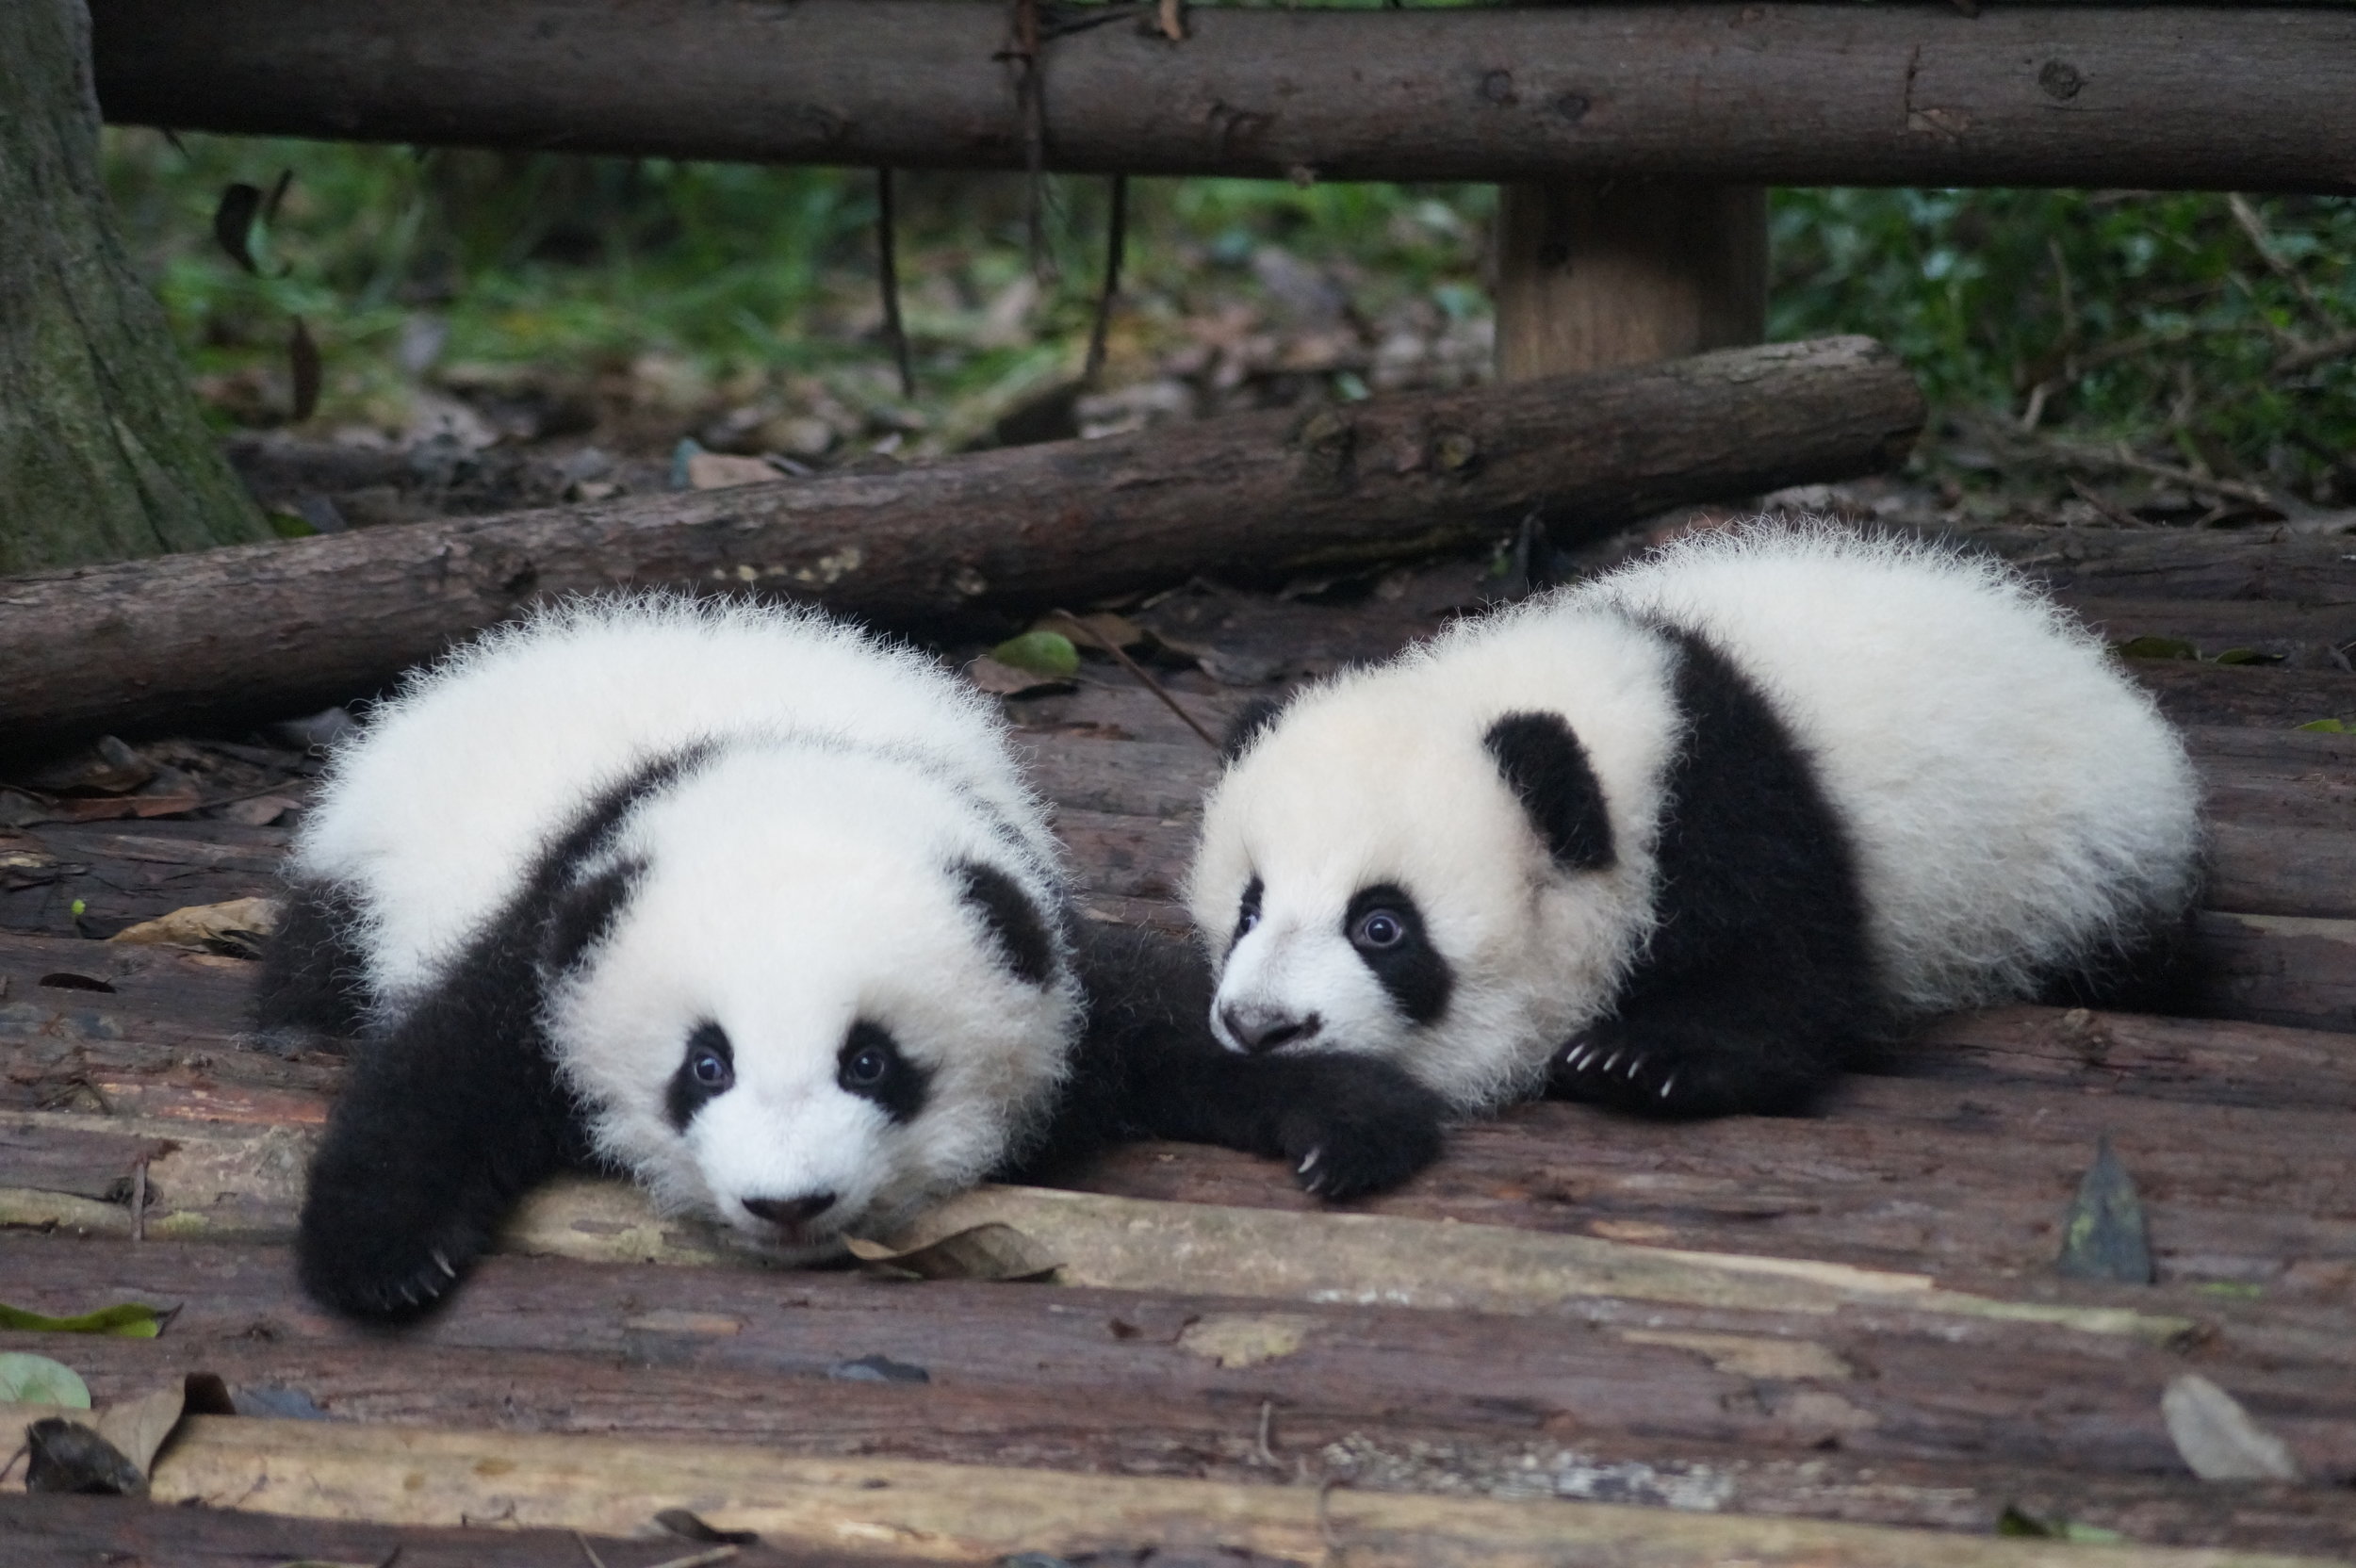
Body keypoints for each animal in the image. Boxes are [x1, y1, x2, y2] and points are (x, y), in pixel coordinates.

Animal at [264, 595, 1440, 1321]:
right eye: (705, 1065)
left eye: (871, 1062)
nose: (788, 1204)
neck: (791, 764)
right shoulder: (562, 918)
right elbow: (443, 1068)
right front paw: (383, 1257)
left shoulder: (1029, 922)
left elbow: (1165, 1019)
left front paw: (1348, 1118)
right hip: (359, 868)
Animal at [1188, 523, 2203, 1122]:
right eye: (1248, 908)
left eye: (1381, 926)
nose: (1260, 1026)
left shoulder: (1735, 803)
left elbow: (1789, 977)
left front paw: (1639, 1060)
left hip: (2080, 864)